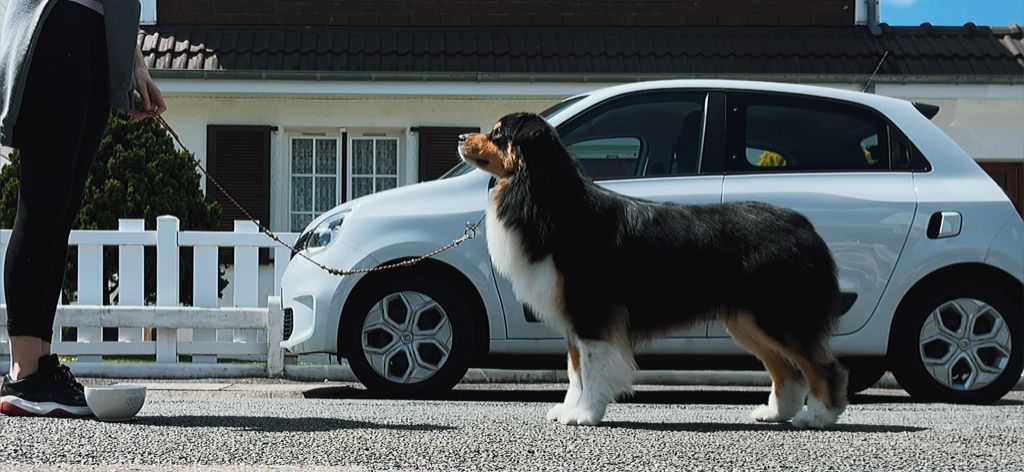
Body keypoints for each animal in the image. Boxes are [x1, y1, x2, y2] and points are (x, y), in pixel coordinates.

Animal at [456, 111, 847, 425]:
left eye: (497, 134)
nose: (460, 137)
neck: (543, 195)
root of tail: (804, 227)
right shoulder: (573, 316)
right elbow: (574, 369)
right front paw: (569, 409)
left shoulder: (592, 311)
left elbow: (592, 368)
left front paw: (585, 415)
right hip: (748, 320)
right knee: (787, 370)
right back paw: (776, 413)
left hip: (780, 314)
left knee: (822, 366)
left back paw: (818, 417)